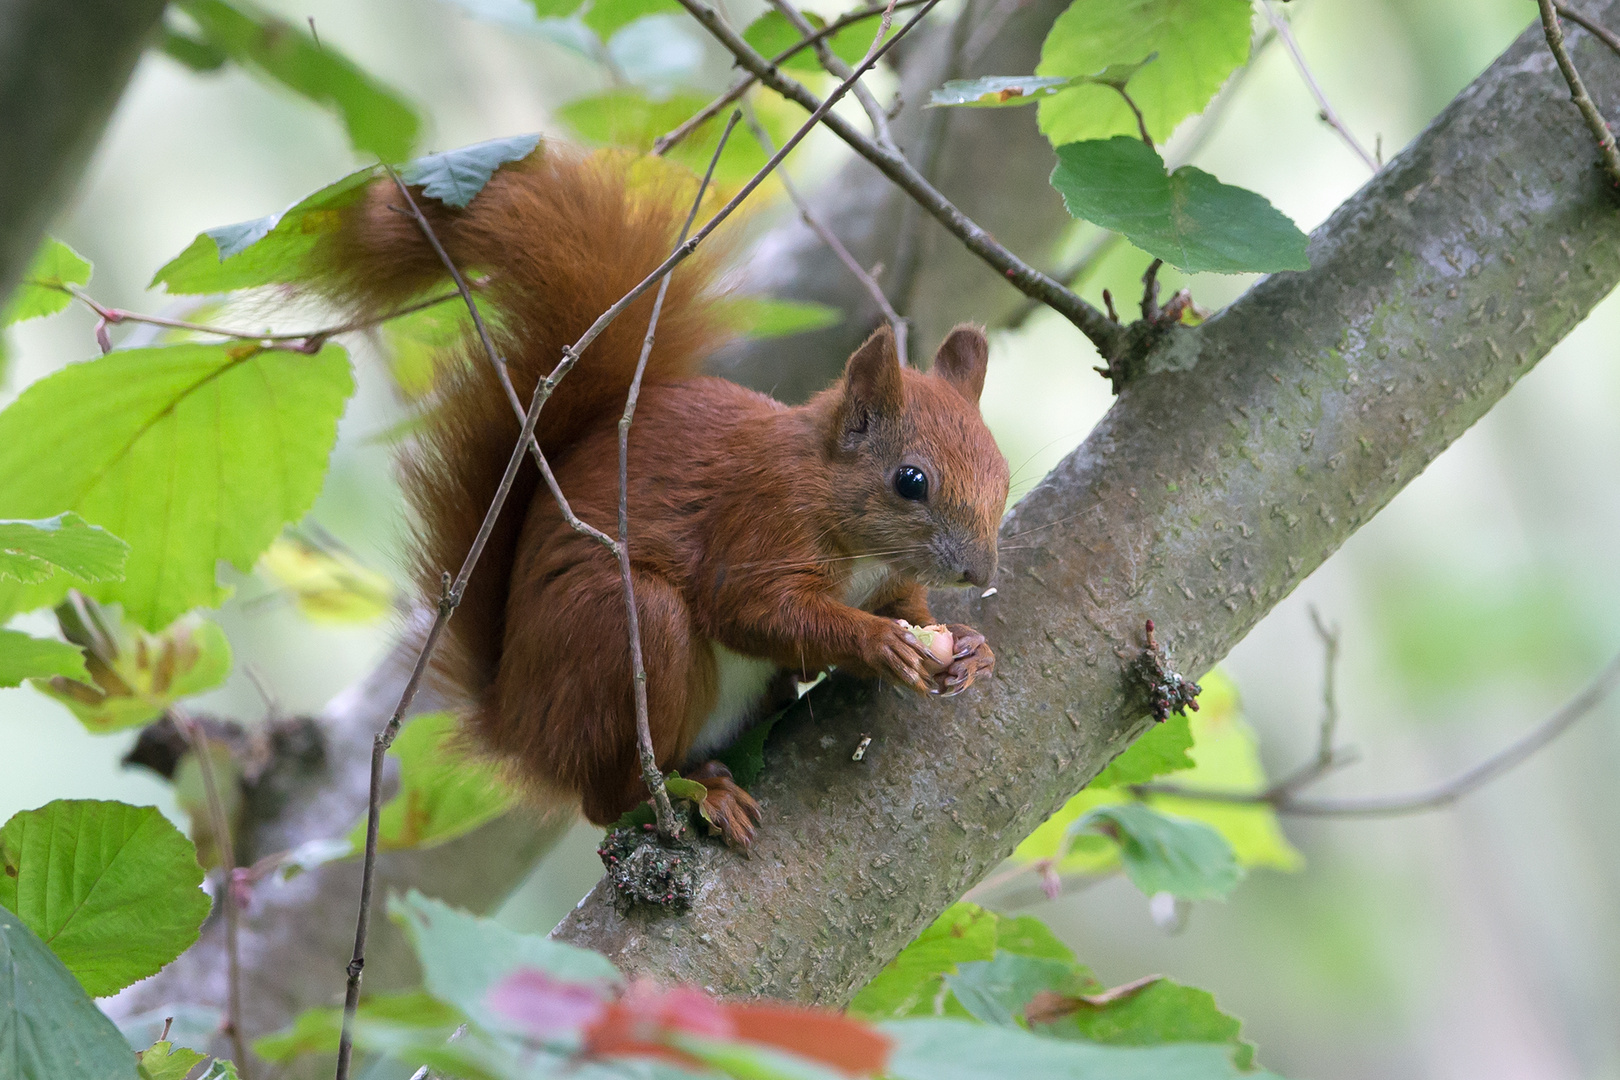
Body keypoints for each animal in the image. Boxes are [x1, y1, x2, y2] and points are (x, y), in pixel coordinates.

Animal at [309, 148, 1004, 848]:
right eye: (910, 481)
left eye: (1001, 477)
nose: (979, 573)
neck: (852, 536)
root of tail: (517, 724)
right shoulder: (759, 520)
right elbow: (752, 610)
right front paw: (879, 642)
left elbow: (904, 604)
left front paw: (968, 646)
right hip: (623, 633)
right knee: (605, 797)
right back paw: (701, 791)